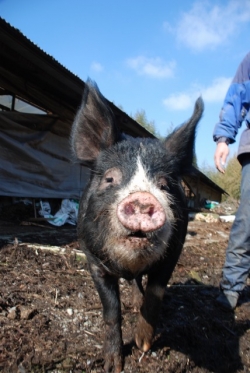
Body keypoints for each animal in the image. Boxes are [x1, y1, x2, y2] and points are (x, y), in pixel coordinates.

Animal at [70, 80, 203, 370]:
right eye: (110, 179)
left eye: (164, 185)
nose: (143, 199)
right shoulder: (93, 260)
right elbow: (111, 310)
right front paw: (112, 366)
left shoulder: (173, 253)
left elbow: (155, 295)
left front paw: (143, 345)